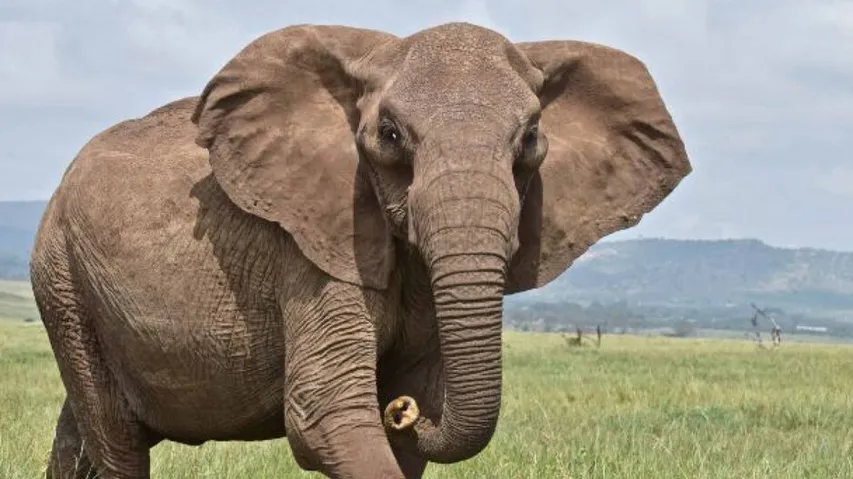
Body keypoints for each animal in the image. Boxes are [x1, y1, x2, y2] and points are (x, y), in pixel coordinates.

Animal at [30, 22, 691, 479]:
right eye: (390, 136)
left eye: (529, 139)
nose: (399, 408)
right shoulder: (316, 246)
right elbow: (325, 411)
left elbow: (407, 422)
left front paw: (406, 407)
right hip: (61, 278)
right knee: (117, 442)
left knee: (81, 436)